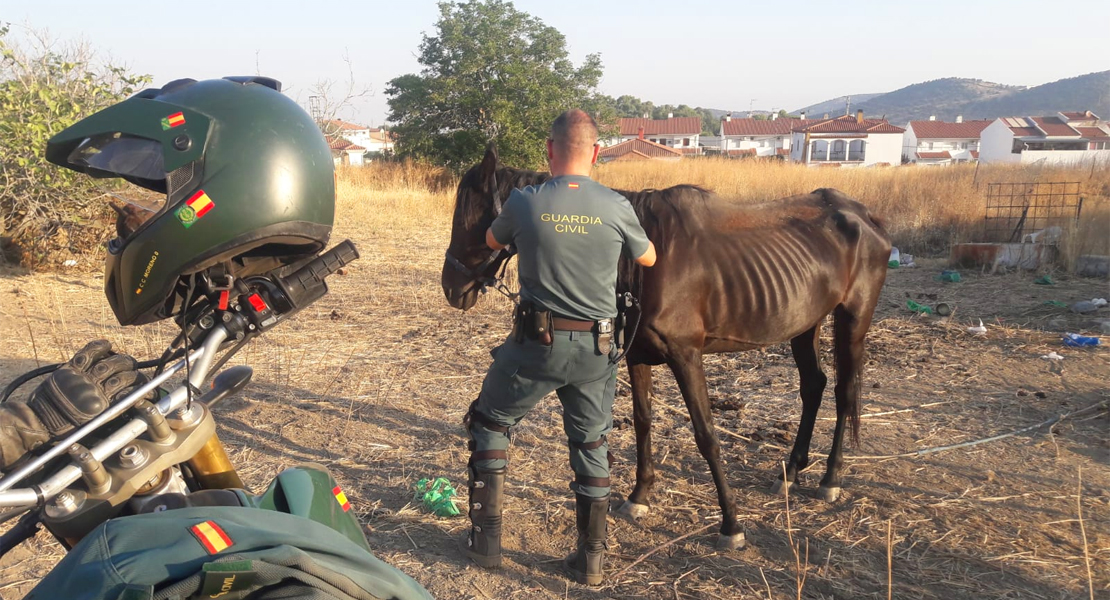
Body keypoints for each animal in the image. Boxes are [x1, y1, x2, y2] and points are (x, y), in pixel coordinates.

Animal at [437, 147, 888, 550]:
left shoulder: (687, 357)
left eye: (477, 219)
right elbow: (642, 422)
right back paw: (790, 472)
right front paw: (639, 497)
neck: (644, 257)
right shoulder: (638, 356)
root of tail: (864, 216)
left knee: (844, 392)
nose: (452, 289)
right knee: (813, 386)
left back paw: (830, 480)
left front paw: (731, 525)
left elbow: (706, 435)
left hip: (853, 320)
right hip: (805, 323)